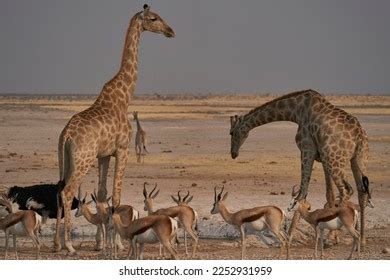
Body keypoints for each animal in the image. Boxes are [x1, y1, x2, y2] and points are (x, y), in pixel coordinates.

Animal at [55, 4, 175, 254]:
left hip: (67, 159)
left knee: (58, 189)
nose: (171, 31)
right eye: (153, 18)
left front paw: (101, 243)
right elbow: (116, 197)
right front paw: (118, 242)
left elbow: (102, 195)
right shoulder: (122, 149)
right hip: (82, 160)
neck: (124, 97)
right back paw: (69, 245)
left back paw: (56, 244)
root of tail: (66, 134)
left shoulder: (104, 155)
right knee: (67, 191)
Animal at [230, 89, 370, 245]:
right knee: (361, 192)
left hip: (335, 160)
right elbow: (329, 194)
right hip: (358, 159)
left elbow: (302, 191)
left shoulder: (307, 148)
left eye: (231, 132)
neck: (296, 111)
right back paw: (362, 239)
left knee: (346, 189)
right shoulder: (322, 157)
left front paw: (290, 236)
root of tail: (359, 135)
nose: (233, 153)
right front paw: (334, 235)